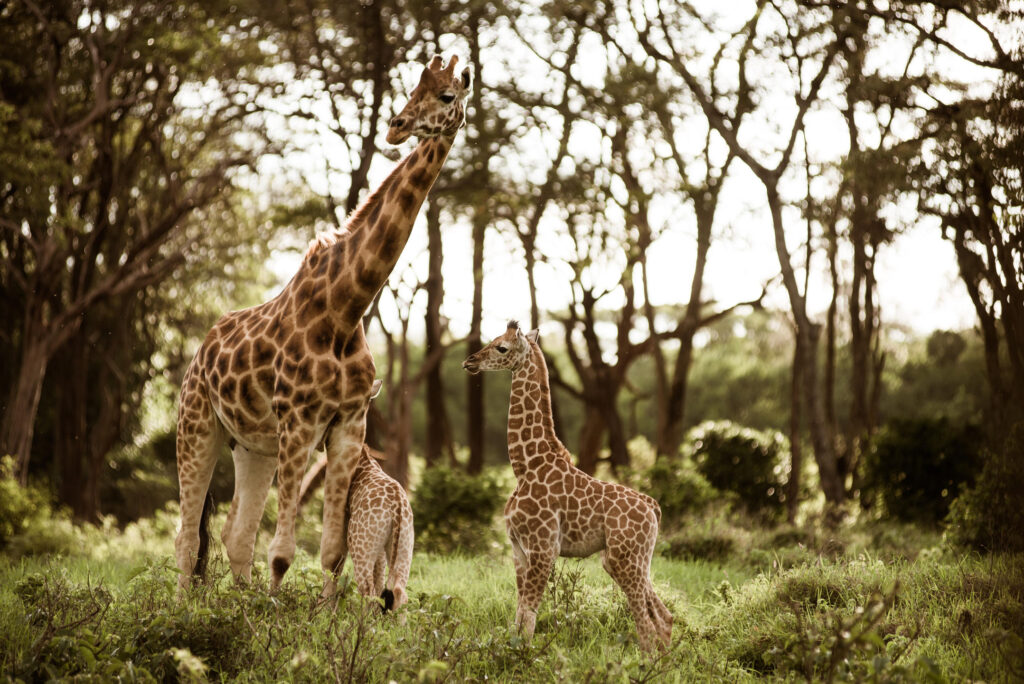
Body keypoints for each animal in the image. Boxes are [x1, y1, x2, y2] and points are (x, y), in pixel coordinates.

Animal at [174, 56, 468, 593]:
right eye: (412, 88)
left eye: (446, 96)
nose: (397, 127)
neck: (347, 307)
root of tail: (200, 351)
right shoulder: (299, 421)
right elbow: (283, 552)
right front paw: (274, 614)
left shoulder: (348, 423)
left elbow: (331, 552)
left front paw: (315, 613)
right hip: (197, 425)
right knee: (188, 536)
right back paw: (185, 608)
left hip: (254, 447)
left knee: (235, 534)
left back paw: (232, 605)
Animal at [462, 321, 671, 651]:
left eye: (501, 347)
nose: (469, 361)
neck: (525, 465)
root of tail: (654, 507)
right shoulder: (518, 549)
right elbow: (519, 614)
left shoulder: (543, 546)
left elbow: (529, 617)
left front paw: (524, 656)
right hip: (634, 559)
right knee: (665, 618)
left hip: (624, 559)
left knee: (647, 626)